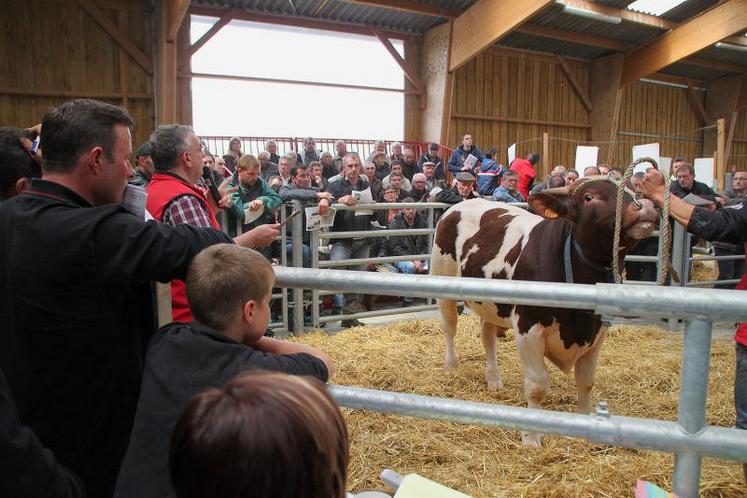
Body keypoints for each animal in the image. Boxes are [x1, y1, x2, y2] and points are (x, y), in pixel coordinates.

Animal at [430, 177, 656, 446]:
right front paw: (531, 439)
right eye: (589, 197)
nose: (644, 207)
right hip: (443, 281)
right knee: (449, 327)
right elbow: (537, 386)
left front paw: (584, 421)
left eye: (633, 190)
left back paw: (493, 378)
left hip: (490, 303)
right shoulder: (529, 329)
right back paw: (450, 366)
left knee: (487, 336)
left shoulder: (598, 331)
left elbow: (586, 381)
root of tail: (459, 206)